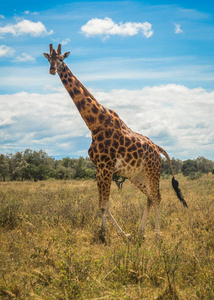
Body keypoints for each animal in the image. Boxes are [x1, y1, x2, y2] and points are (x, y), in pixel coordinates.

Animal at [43, 44, 187, 240]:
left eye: (61, 59)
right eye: (48, 59)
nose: (52, 69)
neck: (94, 124)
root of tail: (158, 148)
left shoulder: (106, 166)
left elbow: (104, 204)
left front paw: (104, 235)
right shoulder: (99, 168)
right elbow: (103, 204)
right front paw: (123, 234)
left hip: (153, 170)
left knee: (157, 196)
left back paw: (157, 235)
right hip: (137, 175)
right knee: (150, 197)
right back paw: (141, 232)